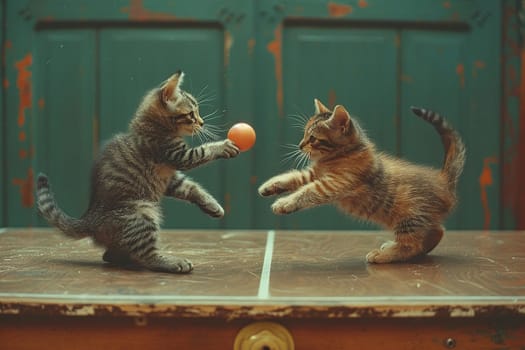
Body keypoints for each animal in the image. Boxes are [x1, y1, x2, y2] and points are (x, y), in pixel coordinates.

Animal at [37, 71, 239, 274]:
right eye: (191, 114)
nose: (202, 122)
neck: (151, 125)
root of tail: (90, 219)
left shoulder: (170, 179)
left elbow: (191, 188)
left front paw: (212, 205)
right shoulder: (178, 155)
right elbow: (204, 151)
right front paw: (223, 146)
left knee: (110, 256)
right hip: (142, 212)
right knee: (146, 255)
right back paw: (172, 262)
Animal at [260, 98, 464, 262]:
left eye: (312, 138)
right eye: (304, 134)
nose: (300, 145)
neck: (341, 155)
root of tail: (443, 180)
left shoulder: (333, 184)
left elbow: (307, 191)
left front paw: (285, 203)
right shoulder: (314, 174)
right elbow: (294, 176)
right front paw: (270, 186)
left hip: (409, 215)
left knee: (412, 244)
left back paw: (383, 255)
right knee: (437, 231)